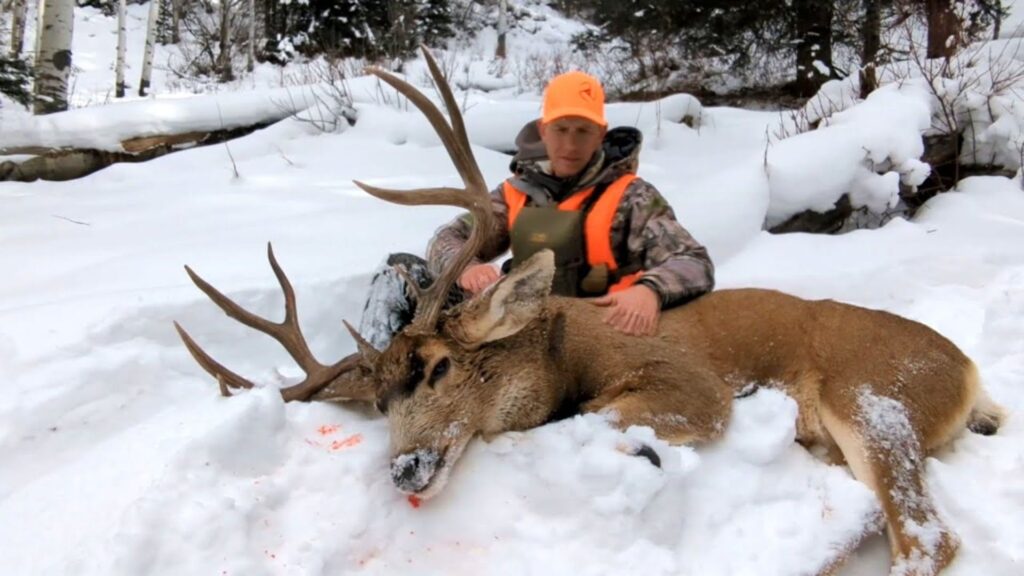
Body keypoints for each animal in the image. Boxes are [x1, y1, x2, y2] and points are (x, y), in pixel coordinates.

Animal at [173, 47, 1005, 576]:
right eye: (378, 402)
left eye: (440, 368)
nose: (405, 468)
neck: (563, 353)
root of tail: (968, 370)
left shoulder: (693, 386)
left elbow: (599, 416)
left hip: (874, 397)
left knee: (927, 539)